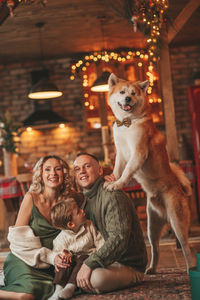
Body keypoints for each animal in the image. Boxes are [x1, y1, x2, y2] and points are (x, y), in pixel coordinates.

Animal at [105, 73, 195, 274]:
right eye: (122, 92)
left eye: (133, 93)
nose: (128, 99)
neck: (127, 124)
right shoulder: (121, 153)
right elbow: (117, 168)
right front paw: (112, 179)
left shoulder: (138, 153)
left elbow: (127, 172)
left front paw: (117, 184)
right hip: (151, 227)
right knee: (156, 248)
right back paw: (152, 269)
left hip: (178, 223)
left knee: (187, 248)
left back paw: (191, 267)